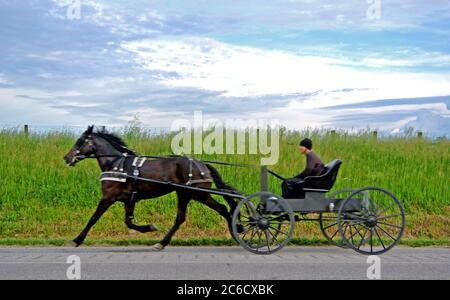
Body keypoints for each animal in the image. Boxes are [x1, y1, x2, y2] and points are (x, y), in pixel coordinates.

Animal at [62, 125, 243, 251]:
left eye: (80, 141)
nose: (66, 158)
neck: (116, 165)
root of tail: (201, 163)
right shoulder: (129, 200)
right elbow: (128, 222)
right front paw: (149, 227)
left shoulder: (108, 197)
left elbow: (93, 218)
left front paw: (76, 240)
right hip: (184, 193)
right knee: (181, 218)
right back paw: (161, 243)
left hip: (199, 194)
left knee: (223, 208)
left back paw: (237, 229)